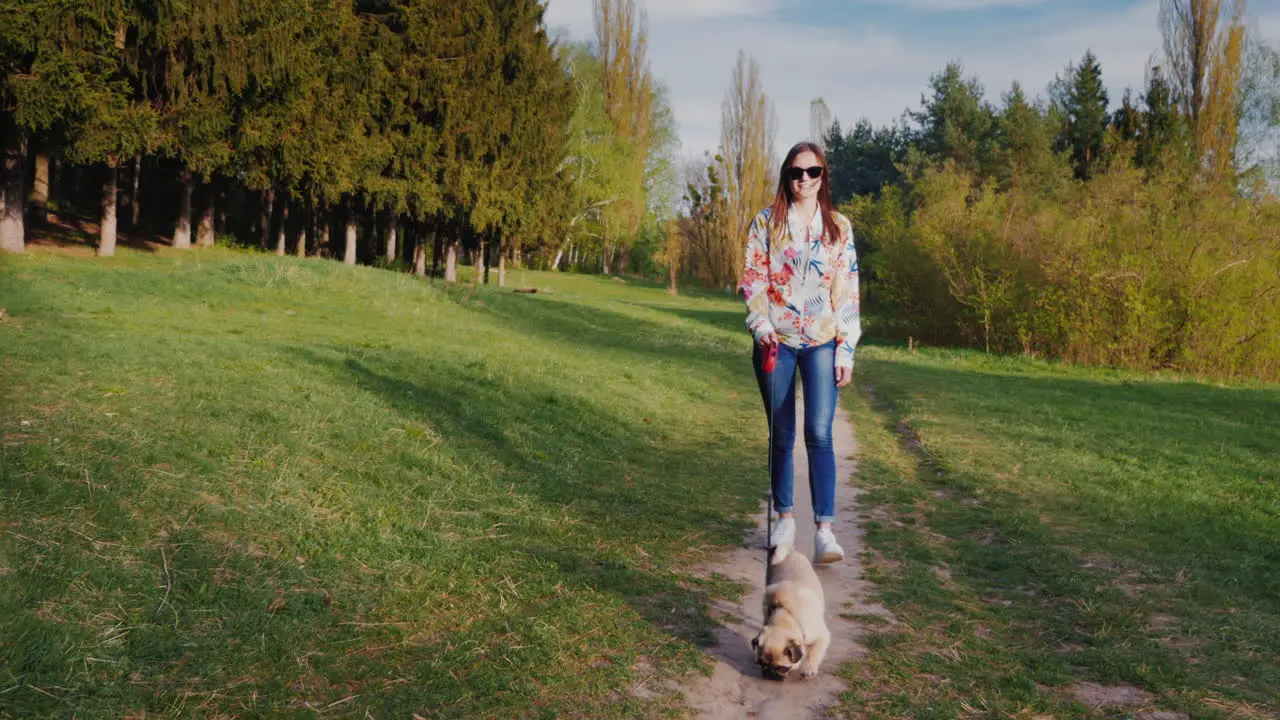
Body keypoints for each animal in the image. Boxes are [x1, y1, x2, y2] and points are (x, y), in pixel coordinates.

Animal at [747, 538, 829, 676]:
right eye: (761, 664)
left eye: (781, 668)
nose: (768, 673)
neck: (786, 614)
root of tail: (790, 552)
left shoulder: (822, 637)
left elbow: (814, 653)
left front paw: (809, 668)